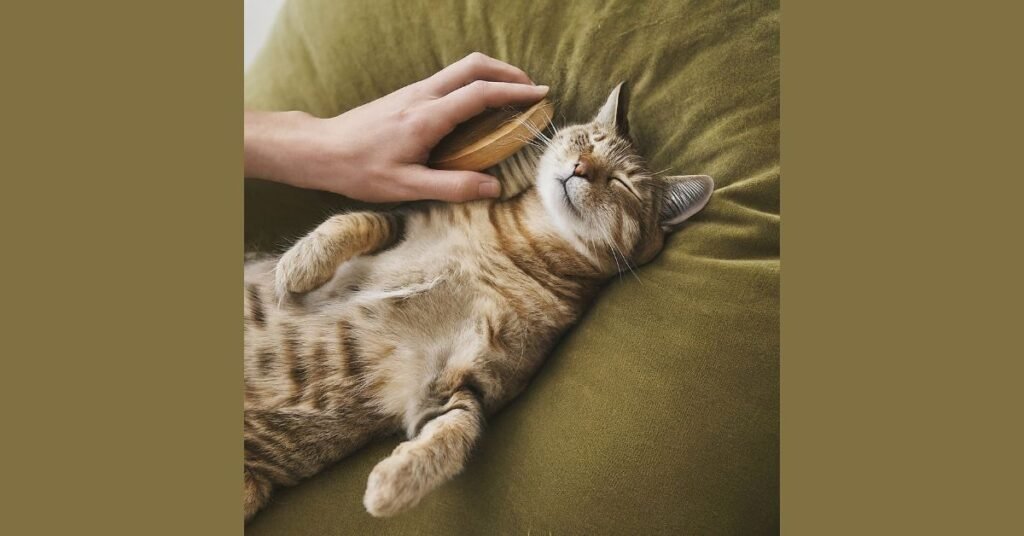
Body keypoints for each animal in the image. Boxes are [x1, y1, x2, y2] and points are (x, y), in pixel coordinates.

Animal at [243, 84, 716, 520]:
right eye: (586, 141)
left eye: (620, 184)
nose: (580, 167)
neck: (513, 245)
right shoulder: (406, 219)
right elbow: (360, 220)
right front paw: (299, 265)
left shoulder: (470, 380)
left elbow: (459, 430)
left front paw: (393, 485)